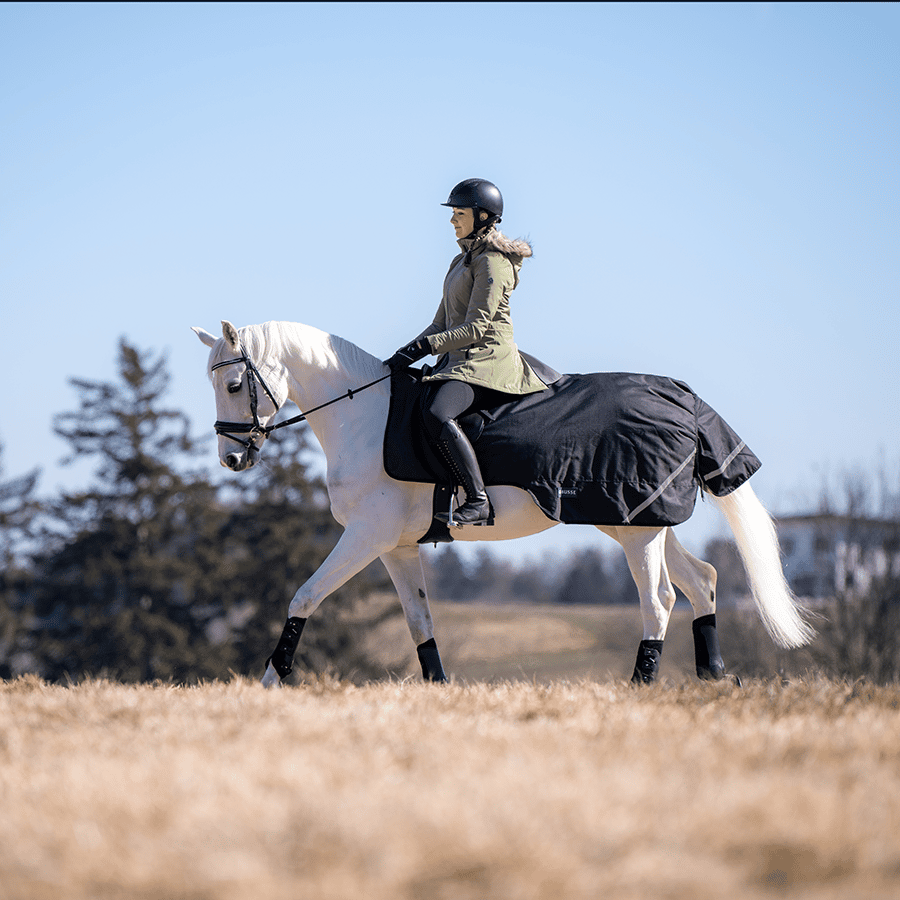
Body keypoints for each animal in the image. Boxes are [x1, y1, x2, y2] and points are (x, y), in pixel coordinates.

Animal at [193, 320, 812, 684]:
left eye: (232, 386)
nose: (232, 458)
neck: (365, 415)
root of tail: (679, 395)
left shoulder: (366, 536)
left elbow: (304, 596)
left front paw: (271, 683)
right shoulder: (395, 547)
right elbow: (420, 622)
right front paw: (439, 690)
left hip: (636, 531)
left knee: (659, 600)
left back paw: (641, 687)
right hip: (641, 519)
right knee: (702, 580)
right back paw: (714, 679)